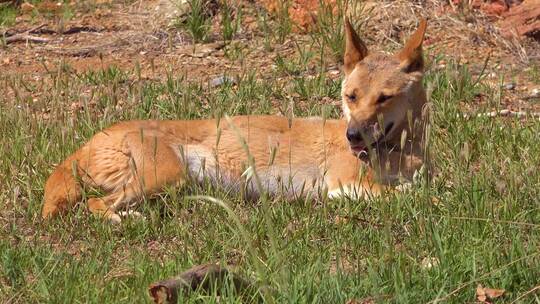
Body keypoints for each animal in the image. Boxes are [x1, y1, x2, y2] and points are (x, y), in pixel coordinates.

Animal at [42, 19, 428, 223]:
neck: (402, 154)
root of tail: (97, 137)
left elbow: (421, 189)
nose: (353, 136)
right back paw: (124, 221)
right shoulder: (344, 186)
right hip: (165, 176)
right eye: (351, 96)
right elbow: (413, 196)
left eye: (384, 97)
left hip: (175, 184)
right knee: (94, 205)